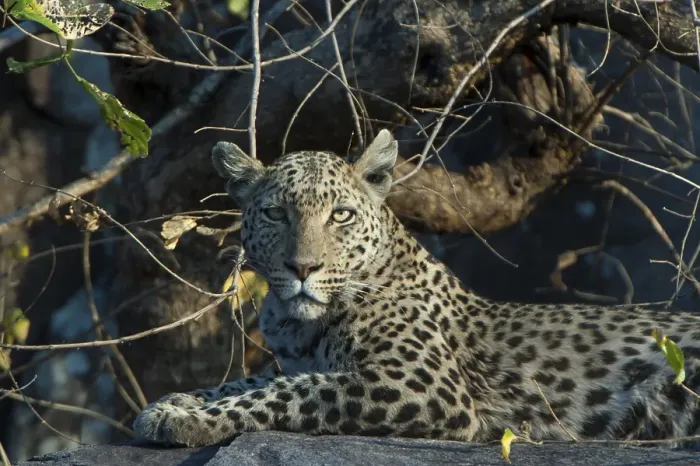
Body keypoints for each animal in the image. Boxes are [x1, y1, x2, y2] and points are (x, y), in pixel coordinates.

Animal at [134, 129, 700, 448]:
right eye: (275, 214)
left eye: (340, 215)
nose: (303, 268)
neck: (302, 323)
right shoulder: (302, 361)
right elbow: (247, 380)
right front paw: (176, 402)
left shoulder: (420, 386)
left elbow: (290, 390)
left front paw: (187, 420)